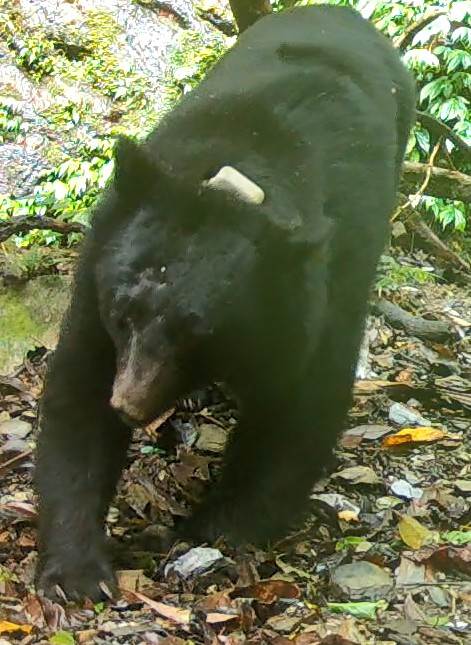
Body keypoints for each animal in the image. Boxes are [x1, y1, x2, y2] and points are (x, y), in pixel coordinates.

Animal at [35, 4, 415, 600]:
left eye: (199, 337)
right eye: (124, 315)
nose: (128, 405)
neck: (235, 177)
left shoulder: (330, 279)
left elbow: (300, 404)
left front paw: (213, 530)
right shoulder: (104, 255)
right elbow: (79, 388)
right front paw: (78, 574)